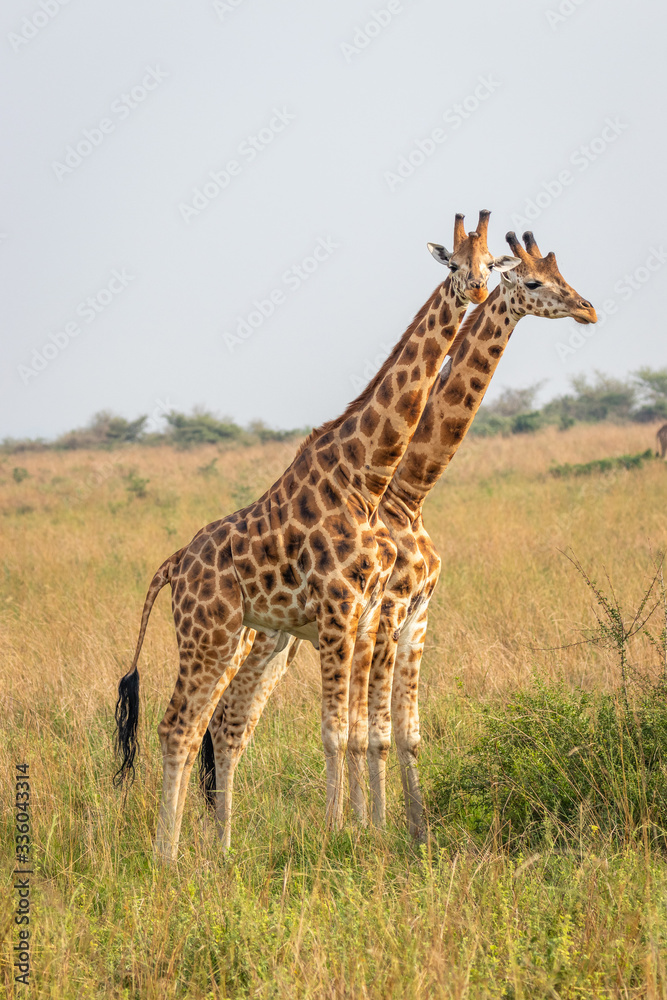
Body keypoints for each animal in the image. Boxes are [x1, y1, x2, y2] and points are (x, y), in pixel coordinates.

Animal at [114, 211, 513, 861]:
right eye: (453, 263)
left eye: (488, 264)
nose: (477, 290)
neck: (366, 476)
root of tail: (173, 564)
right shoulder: (343, 609)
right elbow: (338, 731)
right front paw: (342, 837)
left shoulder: (363, 615)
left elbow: (357, 730)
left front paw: (366, 830)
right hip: (210, 635)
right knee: (181, 726)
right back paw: (167, 858)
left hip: (242, 639)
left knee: (216, 726)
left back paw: (215, 851)